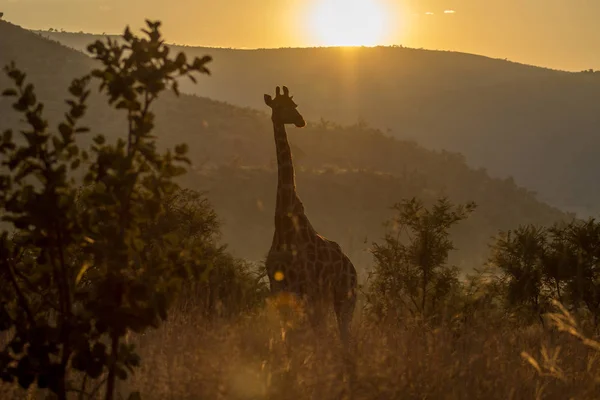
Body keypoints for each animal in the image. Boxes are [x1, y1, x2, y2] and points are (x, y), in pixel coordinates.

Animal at [264, 86, 356, 342]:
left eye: (294, 105)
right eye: (279, 106)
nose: (300, 120)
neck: (283, 221)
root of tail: (353, 268)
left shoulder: (306, 286)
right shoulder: (278, 286)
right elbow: (284, 333)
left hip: (343, 297)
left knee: (343, 334)